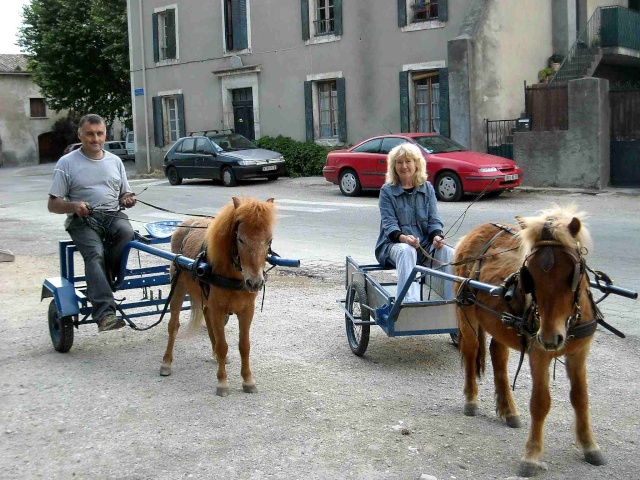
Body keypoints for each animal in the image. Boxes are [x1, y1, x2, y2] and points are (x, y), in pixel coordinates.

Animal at [159, 197, 276, 396]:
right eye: (240, 239)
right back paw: (166, 362)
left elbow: (244, 346)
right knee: (173, 325)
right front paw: (222, 382)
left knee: (207, 317)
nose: (255, 283)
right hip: (178, 288)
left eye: (269, 240)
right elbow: (223, 345)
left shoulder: (247, 311)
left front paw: (248, 380)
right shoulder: (219, 309)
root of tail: (185, 223)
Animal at [456, 205, 604, 476]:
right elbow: (540, 402)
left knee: (498, 356)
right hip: (466, 310)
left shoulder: (579, 353)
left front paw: (589, 445)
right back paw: (471, 400)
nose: (550, 338)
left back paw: (508, 410)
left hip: (499, 322)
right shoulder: (539, 354)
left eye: (573, 273)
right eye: (529, 275)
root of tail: (478, 229)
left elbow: (581, 398)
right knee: (471, 350)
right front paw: (532, 456)